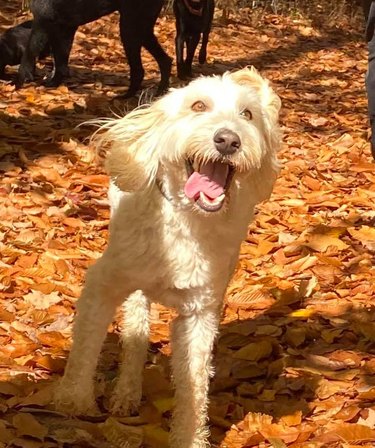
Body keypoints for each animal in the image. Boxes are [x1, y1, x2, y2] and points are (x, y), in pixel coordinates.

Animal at [16, 0, 172, 97]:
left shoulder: (42, 23)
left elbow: (28, 56)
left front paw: (18, 83)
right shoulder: (65, 28)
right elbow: (60, 60)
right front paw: (54, 82)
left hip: (130, 28)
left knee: (140, 69)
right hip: (141, 29)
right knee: (165, 60)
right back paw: (159, 93)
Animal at [55, 66, 282, 448]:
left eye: (247, 114)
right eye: (198, 105)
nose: (228, 140)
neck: (186, 220)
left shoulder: (200, 313)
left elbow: (194, 382)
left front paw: (189, 436)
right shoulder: (103, 283)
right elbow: (87, 344)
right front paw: (75, 399)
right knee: (136, 328)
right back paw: (126, 391)